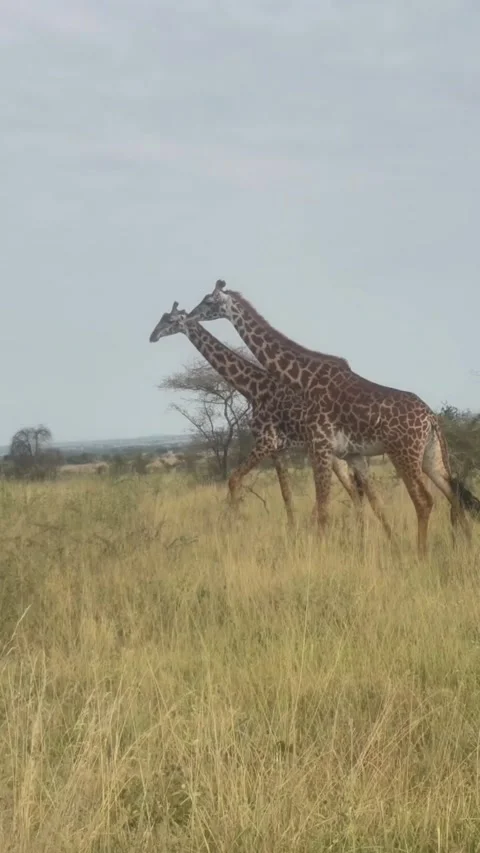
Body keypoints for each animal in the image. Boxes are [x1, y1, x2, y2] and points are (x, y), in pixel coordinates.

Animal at [149, 302, 393, 536]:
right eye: (161, 317)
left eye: (171, 320)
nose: (153, 336)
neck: (254, 388)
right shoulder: (278, 450)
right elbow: (286, 494)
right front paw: (292, 530)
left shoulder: (266, 442)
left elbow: (234, 479)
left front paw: (233, 525)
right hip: (336, 454)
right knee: (353, 489)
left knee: (352, 489)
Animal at [188, 280, 480, 557]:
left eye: (208, 301)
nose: (190, 316)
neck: (304, 379)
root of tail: (431, 418)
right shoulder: (342, 453)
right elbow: (345, 502)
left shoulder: (316, 445)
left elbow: (322, 506)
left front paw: (318, 554)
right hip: (431, 456)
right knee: (452, 493)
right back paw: (463, 546)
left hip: (404, 454)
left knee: (424, 501)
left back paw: (421, 555)